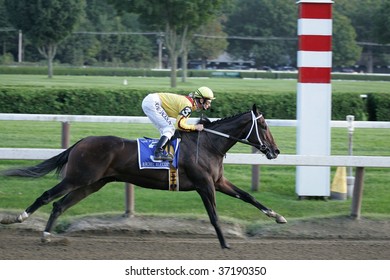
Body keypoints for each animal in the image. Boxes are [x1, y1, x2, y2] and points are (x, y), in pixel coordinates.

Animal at [0, 104, 286, 248]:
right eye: (263, 125)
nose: (275, 150)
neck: (208, 144)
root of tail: (82, 141)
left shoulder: (218, 182)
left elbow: (248, 196)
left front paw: (278, 216)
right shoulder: (205, 184)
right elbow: (214, 216)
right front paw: (225, 244)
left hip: (92, 184)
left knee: (59, 204)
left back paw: (47, 235)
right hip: (78, 178)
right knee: (47, 196)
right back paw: (18, 218)